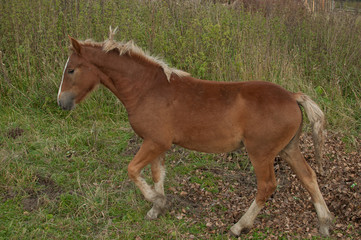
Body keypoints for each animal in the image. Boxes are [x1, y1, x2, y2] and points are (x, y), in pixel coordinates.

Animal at [57, 28, 332, 236]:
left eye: (71, 70)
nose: (61, 102)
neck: (147, 89)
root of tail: (293, 96)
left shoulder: (155, 142)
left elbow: (133, 170)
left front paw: (157, 201)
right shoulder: (156, 143)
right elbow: (157, 175)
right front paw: (157, 209)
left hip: (261, 152)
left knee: (267, 186)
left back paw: (238, 226)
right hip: (288, 149)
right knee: (309, 177)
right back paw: (325, 222)